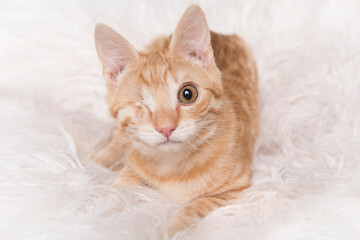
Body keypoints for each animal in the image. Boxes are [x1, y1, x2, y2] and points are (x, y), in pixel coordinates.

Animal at [91, 4, 258, 238]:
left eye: (188, 94)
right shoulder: (132, 170)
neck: (173, 167)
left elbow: (196, 206)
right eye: (140, 103)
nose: (166, 128)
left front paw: (171, 231)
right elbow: (118, 189)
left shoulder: (235, 188)